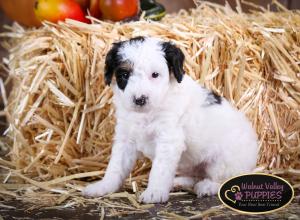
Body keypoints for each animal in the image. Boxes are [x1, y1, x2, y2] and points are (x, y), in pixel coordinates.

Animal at [82, 36, 258, 203]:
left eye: (155, 74)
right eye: (124, 74)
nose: (140, 99)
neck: (147, 112)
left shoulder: (168, 138)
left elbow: (159, 169)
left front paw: (154, 192)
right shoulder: (126, 138)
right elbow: (116, 166)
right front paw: (103, 186)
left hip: (224, 161)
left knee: (223, 178)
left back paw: (207, 186)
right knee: (194, 176)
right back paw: (179, 182)